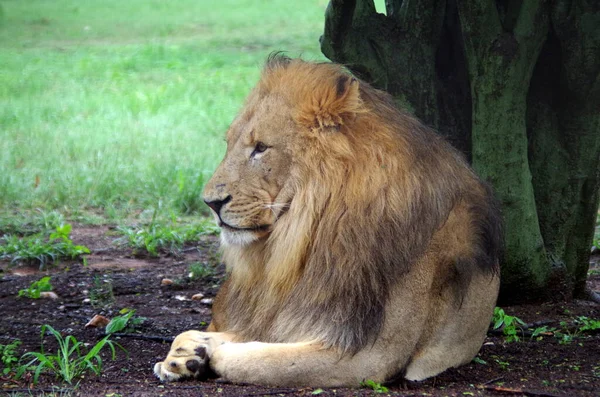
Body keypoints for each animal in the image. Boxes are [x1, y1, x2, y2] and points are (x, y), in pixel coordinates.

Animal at [155, 54, 502, 386]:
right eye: (229, 144)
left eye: (261, 147)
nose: (210, 203)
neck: (307, 240)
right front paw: (188, 352)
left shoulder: (370, 355)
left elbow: (257, 358)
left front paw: (210, 353)